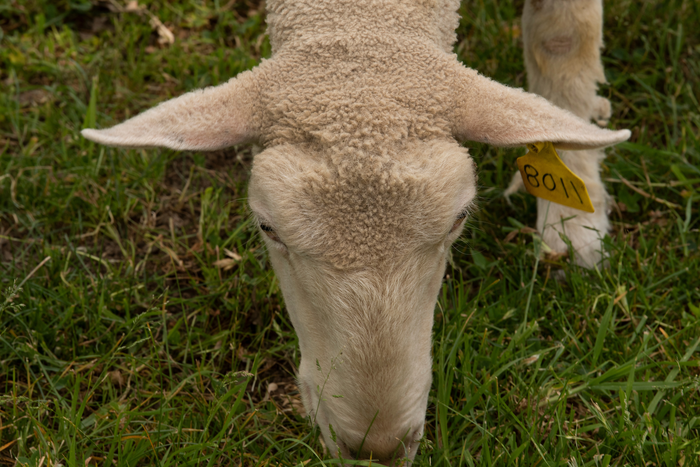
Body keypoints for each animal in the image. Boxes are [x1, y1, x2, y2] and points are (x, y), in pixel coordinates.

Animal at [82, 0, 628, 462]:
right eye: (267, 227)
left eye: (459, 219)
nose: (378, 447)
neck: (363, 19)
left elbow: (564, 35)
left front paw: (574, 219)